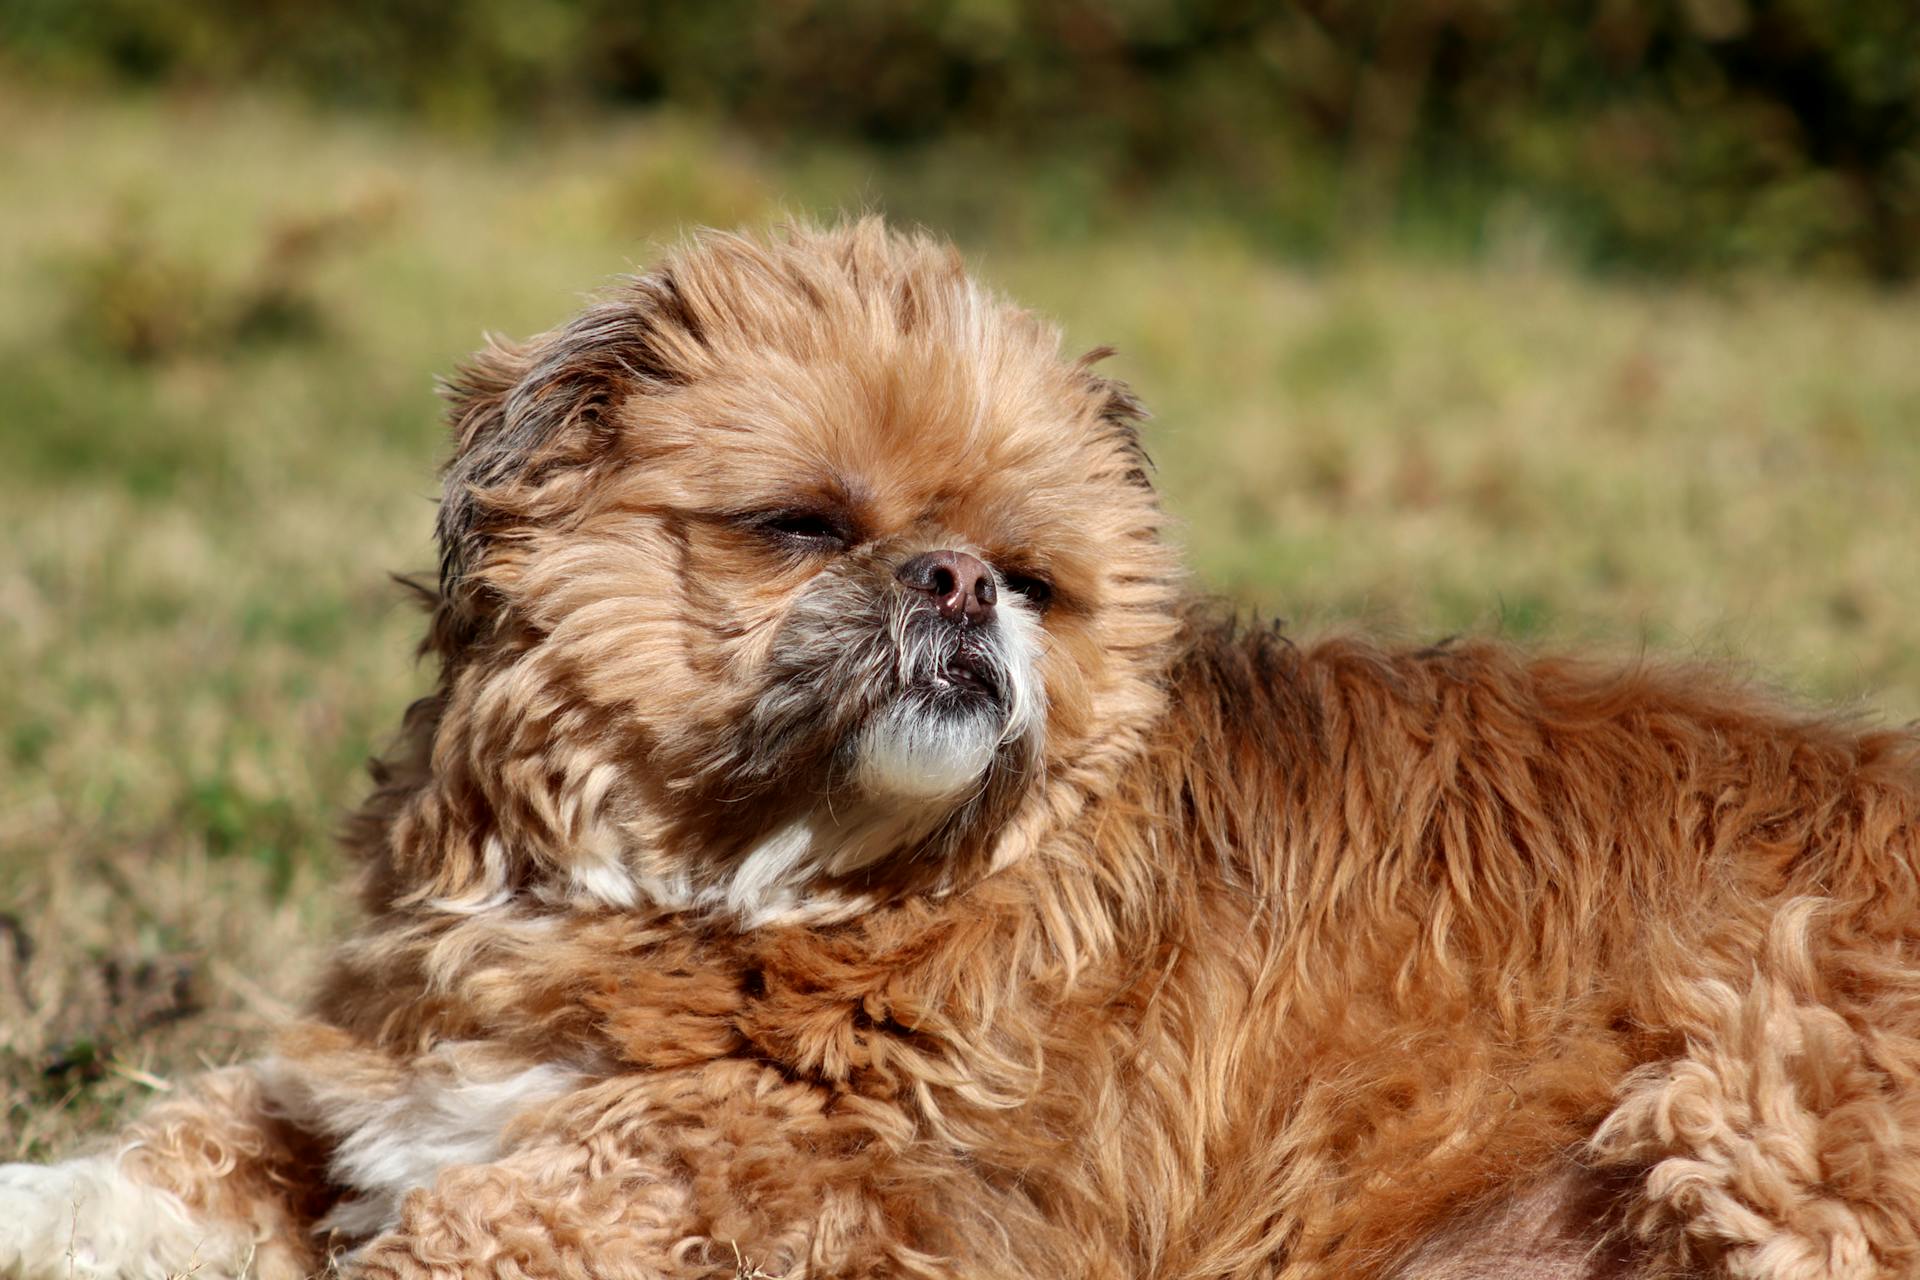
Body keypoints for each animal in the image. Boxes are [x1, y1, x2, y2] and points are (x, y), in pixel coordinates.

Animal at [3, 222, 1920, 1280]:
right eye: (797, 525)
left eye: (1034, 575)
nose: (959, 579)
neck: (740, 886)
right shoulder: (373, 1092)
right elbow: (163, 1159)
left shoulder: (745, 1195)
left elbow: (444, 1235)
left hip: (1759, 1089)